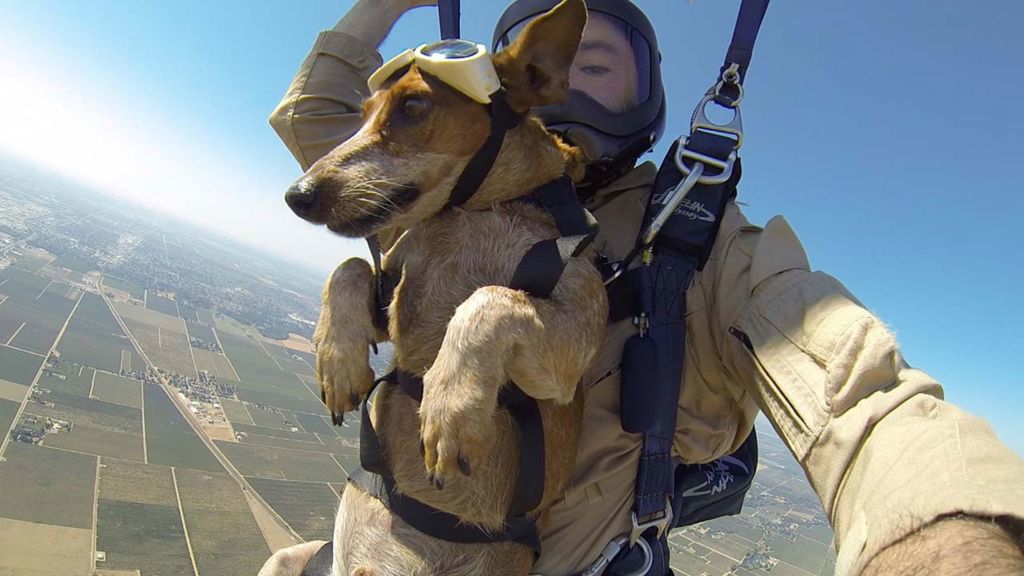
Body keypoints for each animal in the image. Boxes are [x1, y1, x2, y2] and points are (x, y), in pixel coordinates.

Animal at [272, 2, 606, 569]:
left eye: (412, 106)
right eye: (362, 113)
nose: (298, 196)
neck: (474, 213)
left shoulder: (569, 348)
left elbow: (489, 299)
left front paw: (451, 407)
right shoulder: (389, 298)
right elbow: (350, 266)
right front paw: (338, 362)